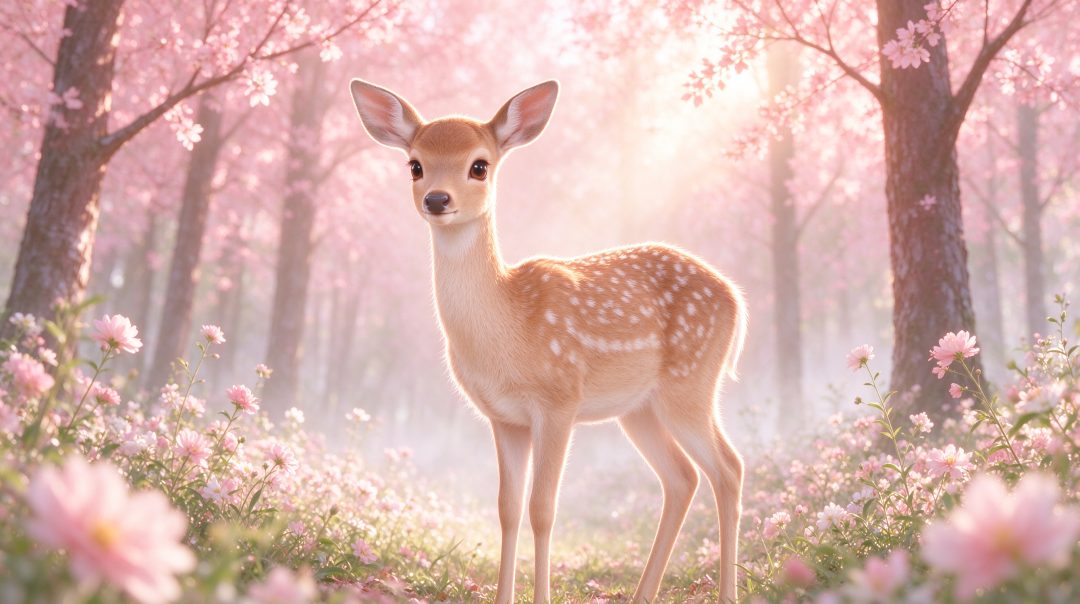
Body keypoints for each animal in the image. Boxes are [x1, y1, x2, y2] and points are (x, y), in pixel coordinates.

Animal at [349, 78, 747, 603]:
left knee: (728, 467)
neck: (507, 328)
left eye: (479, 165)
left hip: (691, 382)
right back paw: (643, 594)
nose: (436, 199)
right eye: (414, 164)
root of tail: (737, 299)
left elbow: (543, 509)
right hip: (639, 408)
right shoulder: (503, 417)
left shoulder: (559, 399)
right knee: (682, 477)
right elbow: (507, 508)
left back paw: (726, 593)